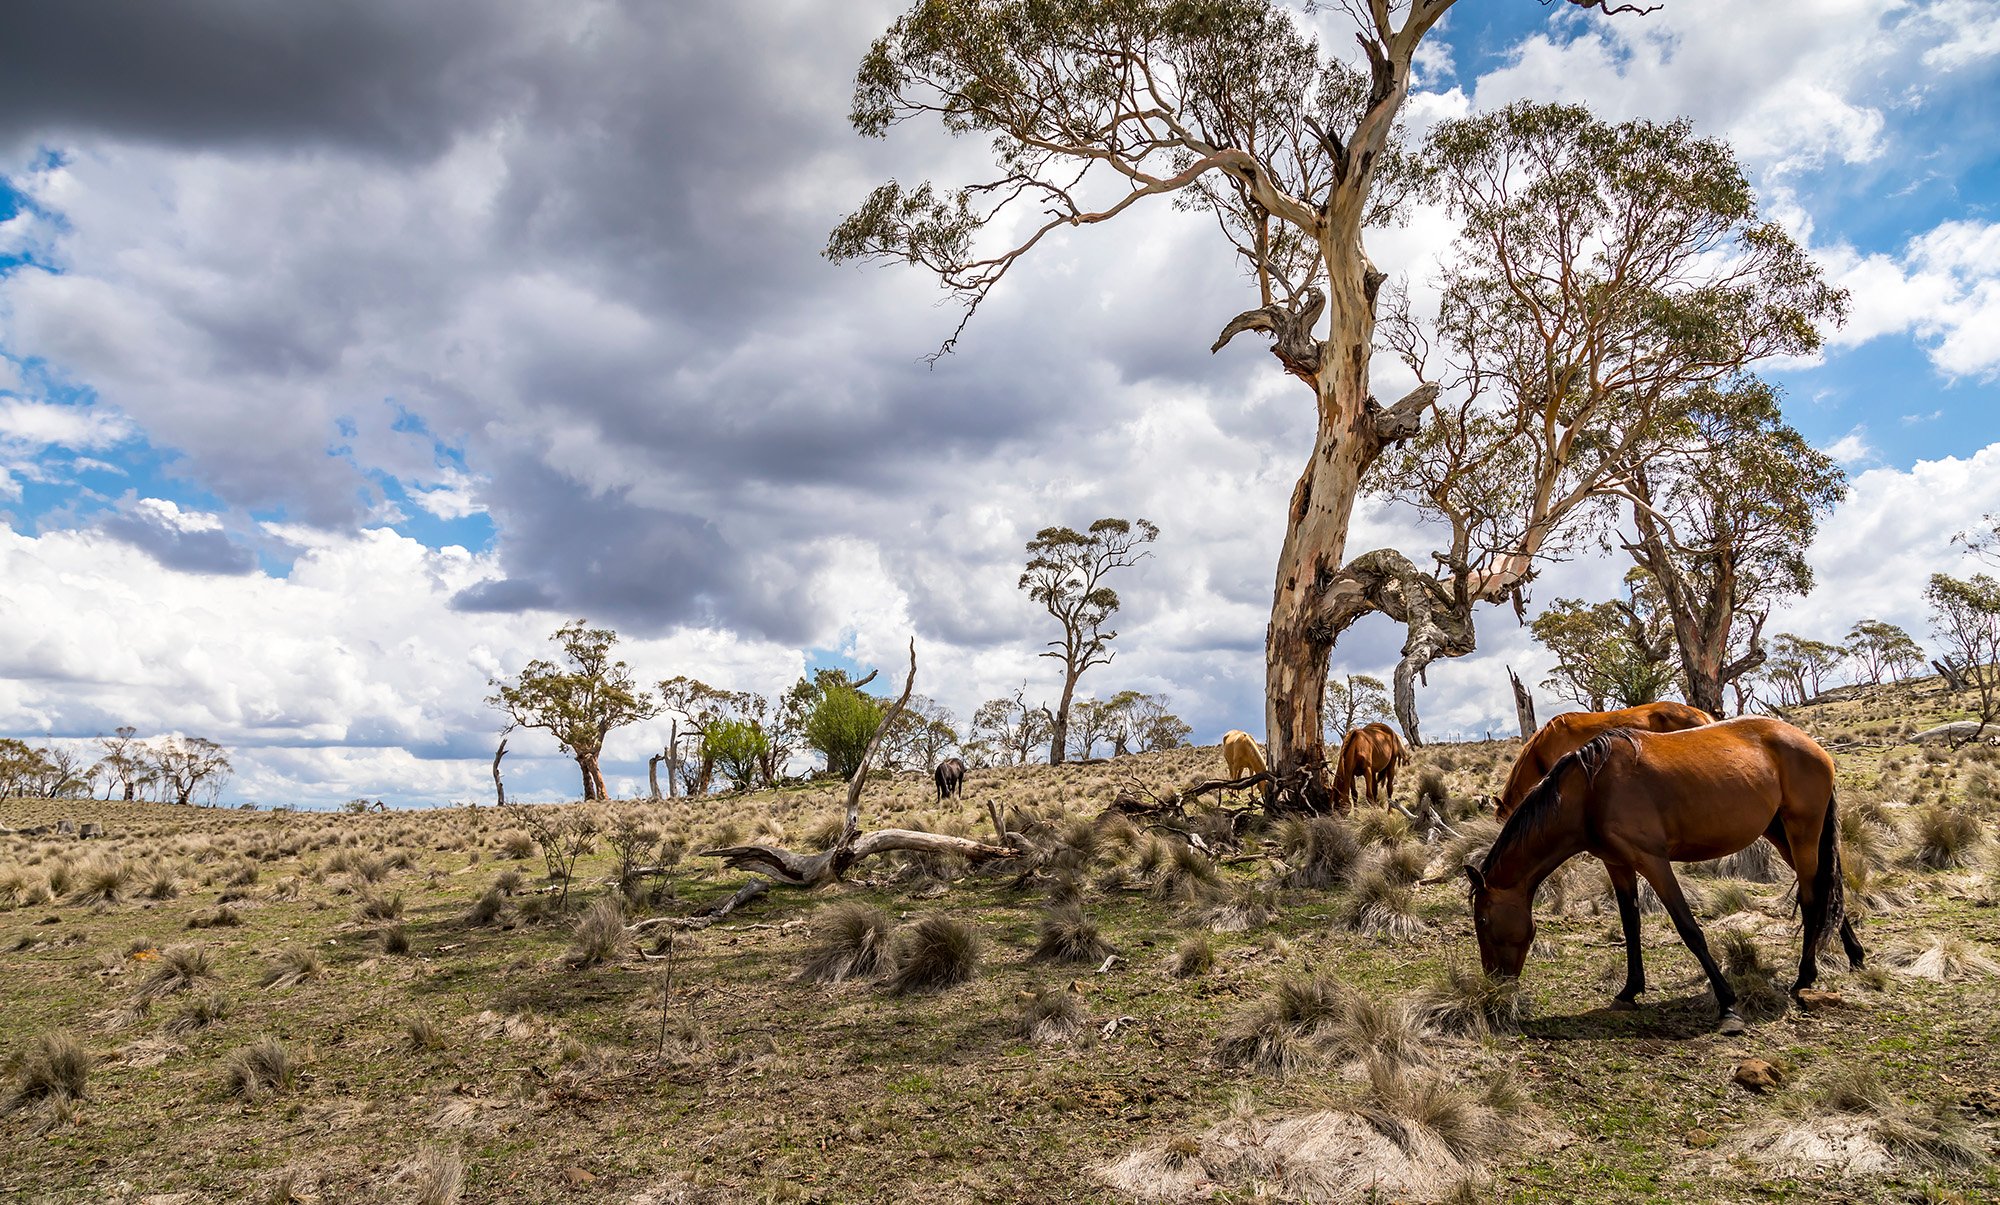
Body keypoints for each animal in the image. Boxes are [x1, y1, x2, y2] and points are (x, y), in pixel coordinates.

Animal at [1464, 712, 1864, 1032]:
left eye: (1482, 921)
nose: (1495, 986)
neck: (1590, 793)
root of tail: (1810, 744)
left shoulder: (1653, 861)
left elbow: (1689, 928)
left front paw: (1727, 1003)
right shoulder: (1618, 864)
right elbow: (1631, 926)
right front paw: (1629, 990)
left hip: (1802, 830)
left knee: (1812, 896)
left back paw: (1805, 977)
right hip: (1780, 833)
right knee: (1824, 888)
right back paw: (1854, 955)